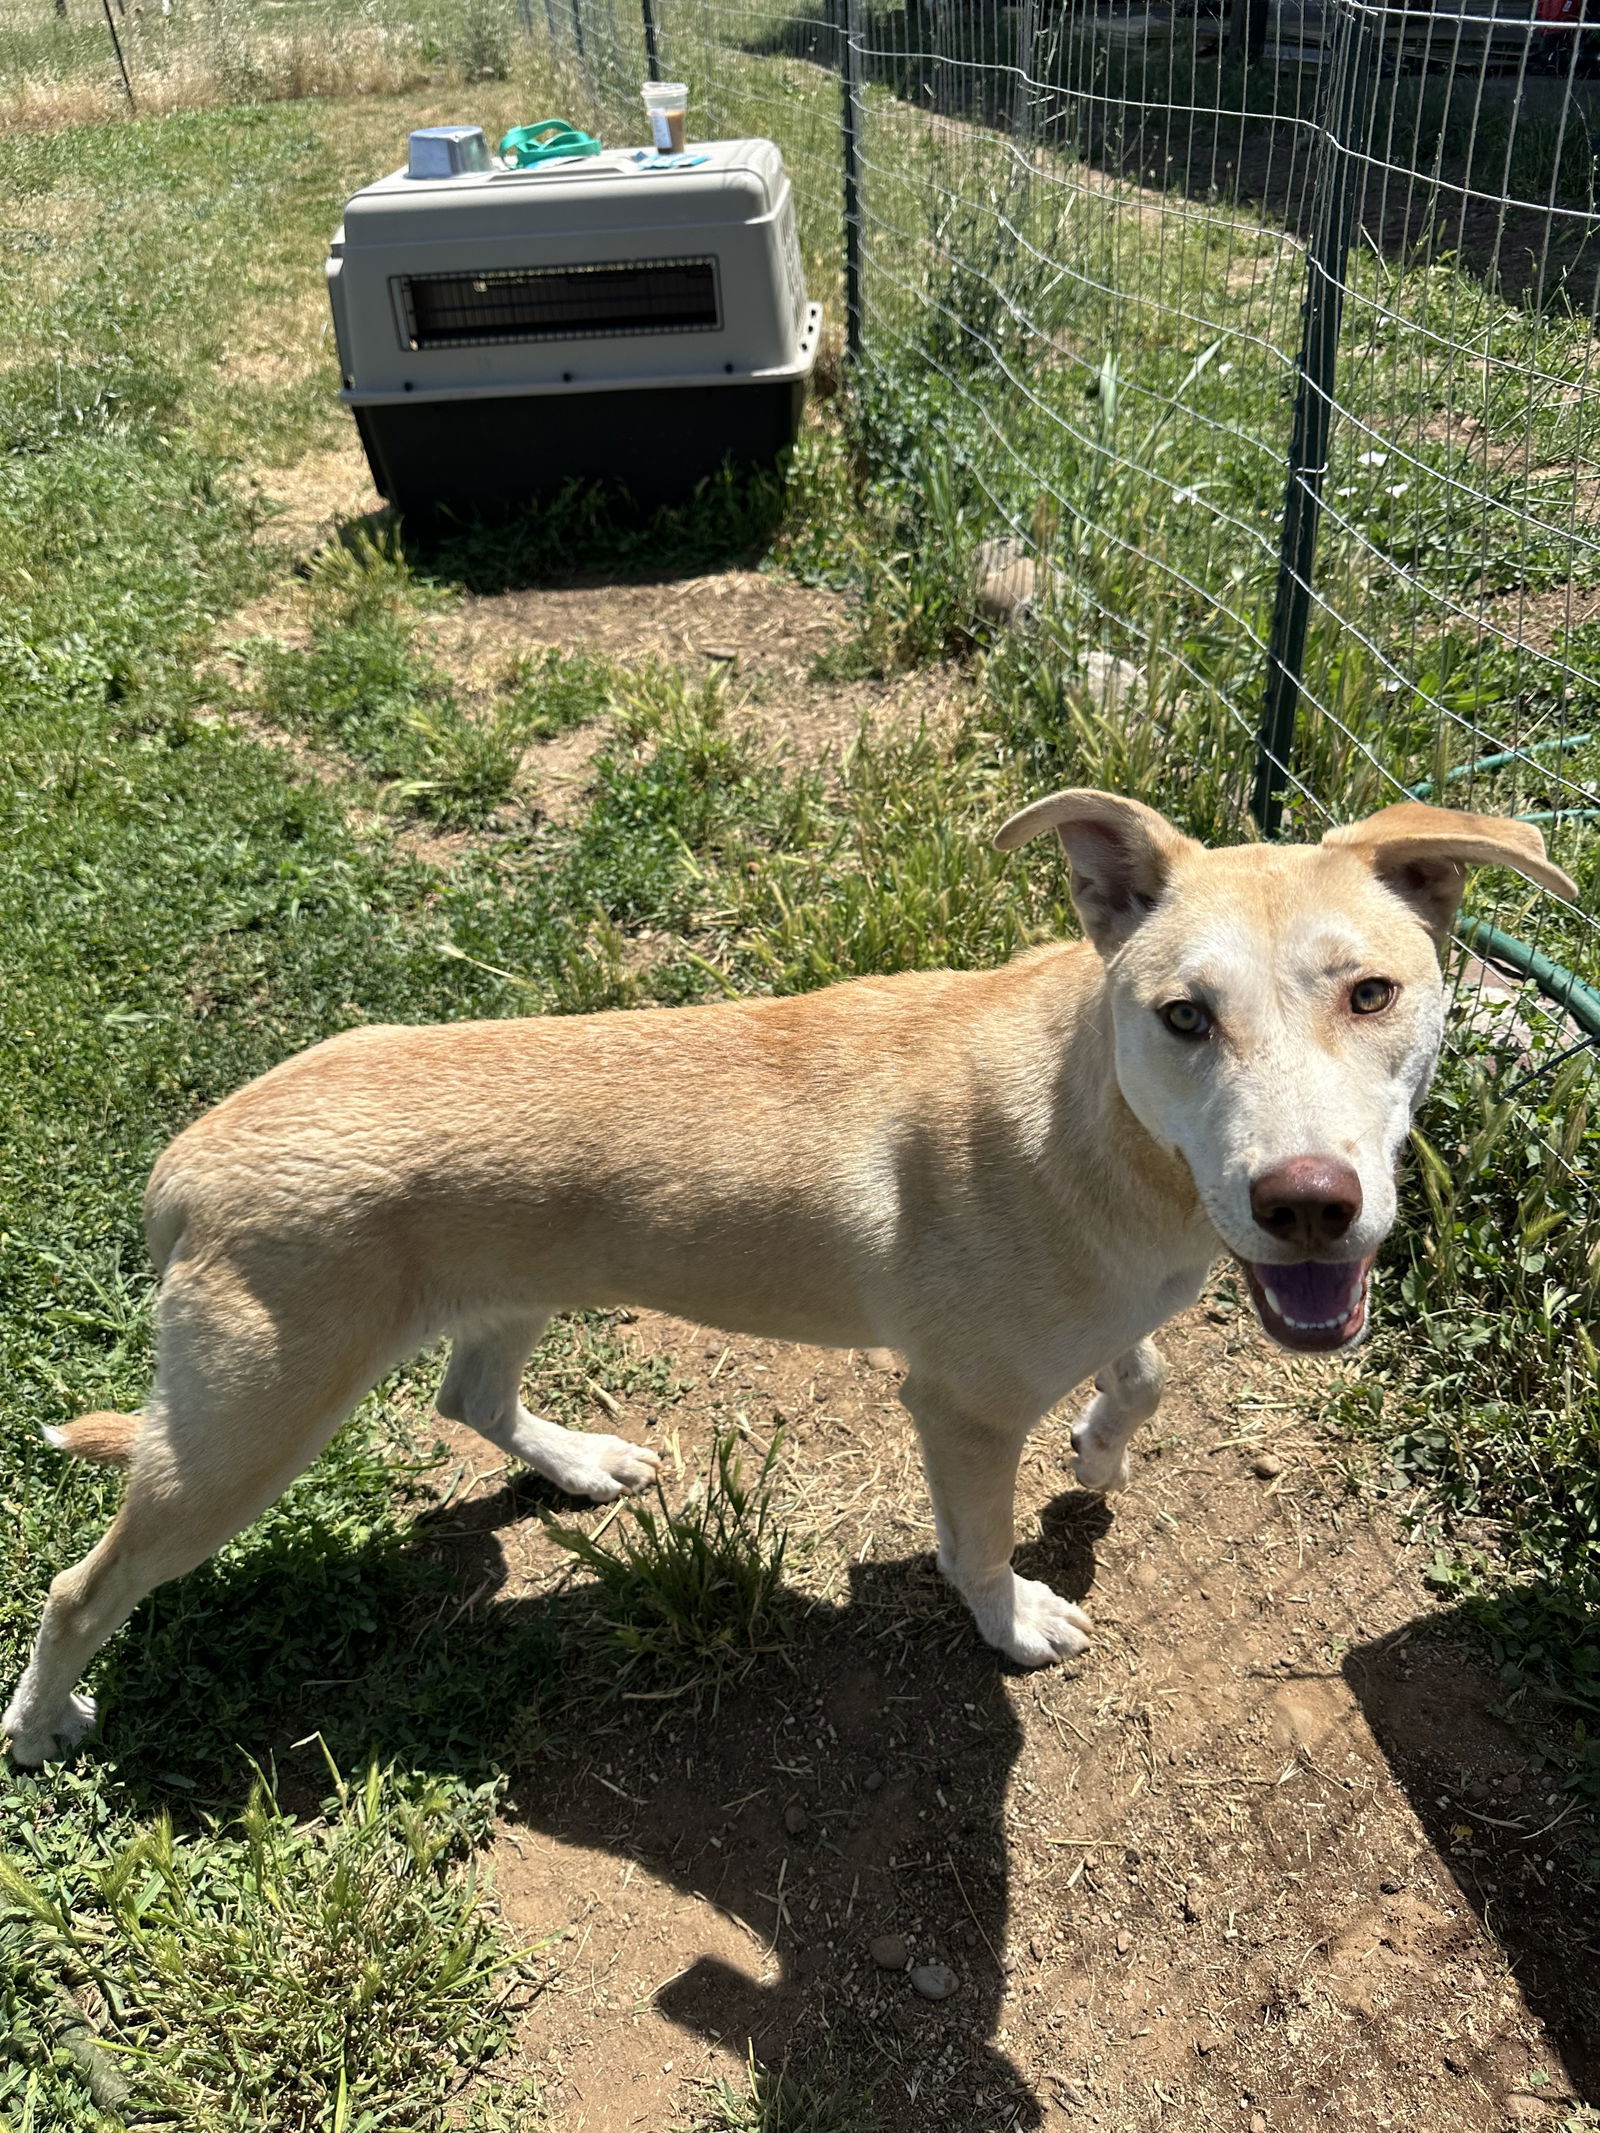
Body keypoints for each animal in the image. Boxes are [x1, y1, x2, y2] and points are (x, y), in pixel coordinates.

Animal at [0, 793, 1578, 1757]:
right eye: (1184, 1015)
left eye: (1371, 991)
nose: (1307, 1206)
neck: (1096, 1124)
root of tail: (187, 1156)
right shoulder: (959, 1404)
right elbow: (977, 1541)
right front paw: (1013, 1616)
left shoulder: (1105, 1303)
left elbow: (1140, 1364)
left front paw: (1101, 1450)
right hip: (241, 1437)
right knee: (79, 1589)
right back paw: (38, 1727)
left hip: (504, 1290)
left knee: (468, 1398)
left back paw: (577, 1464)